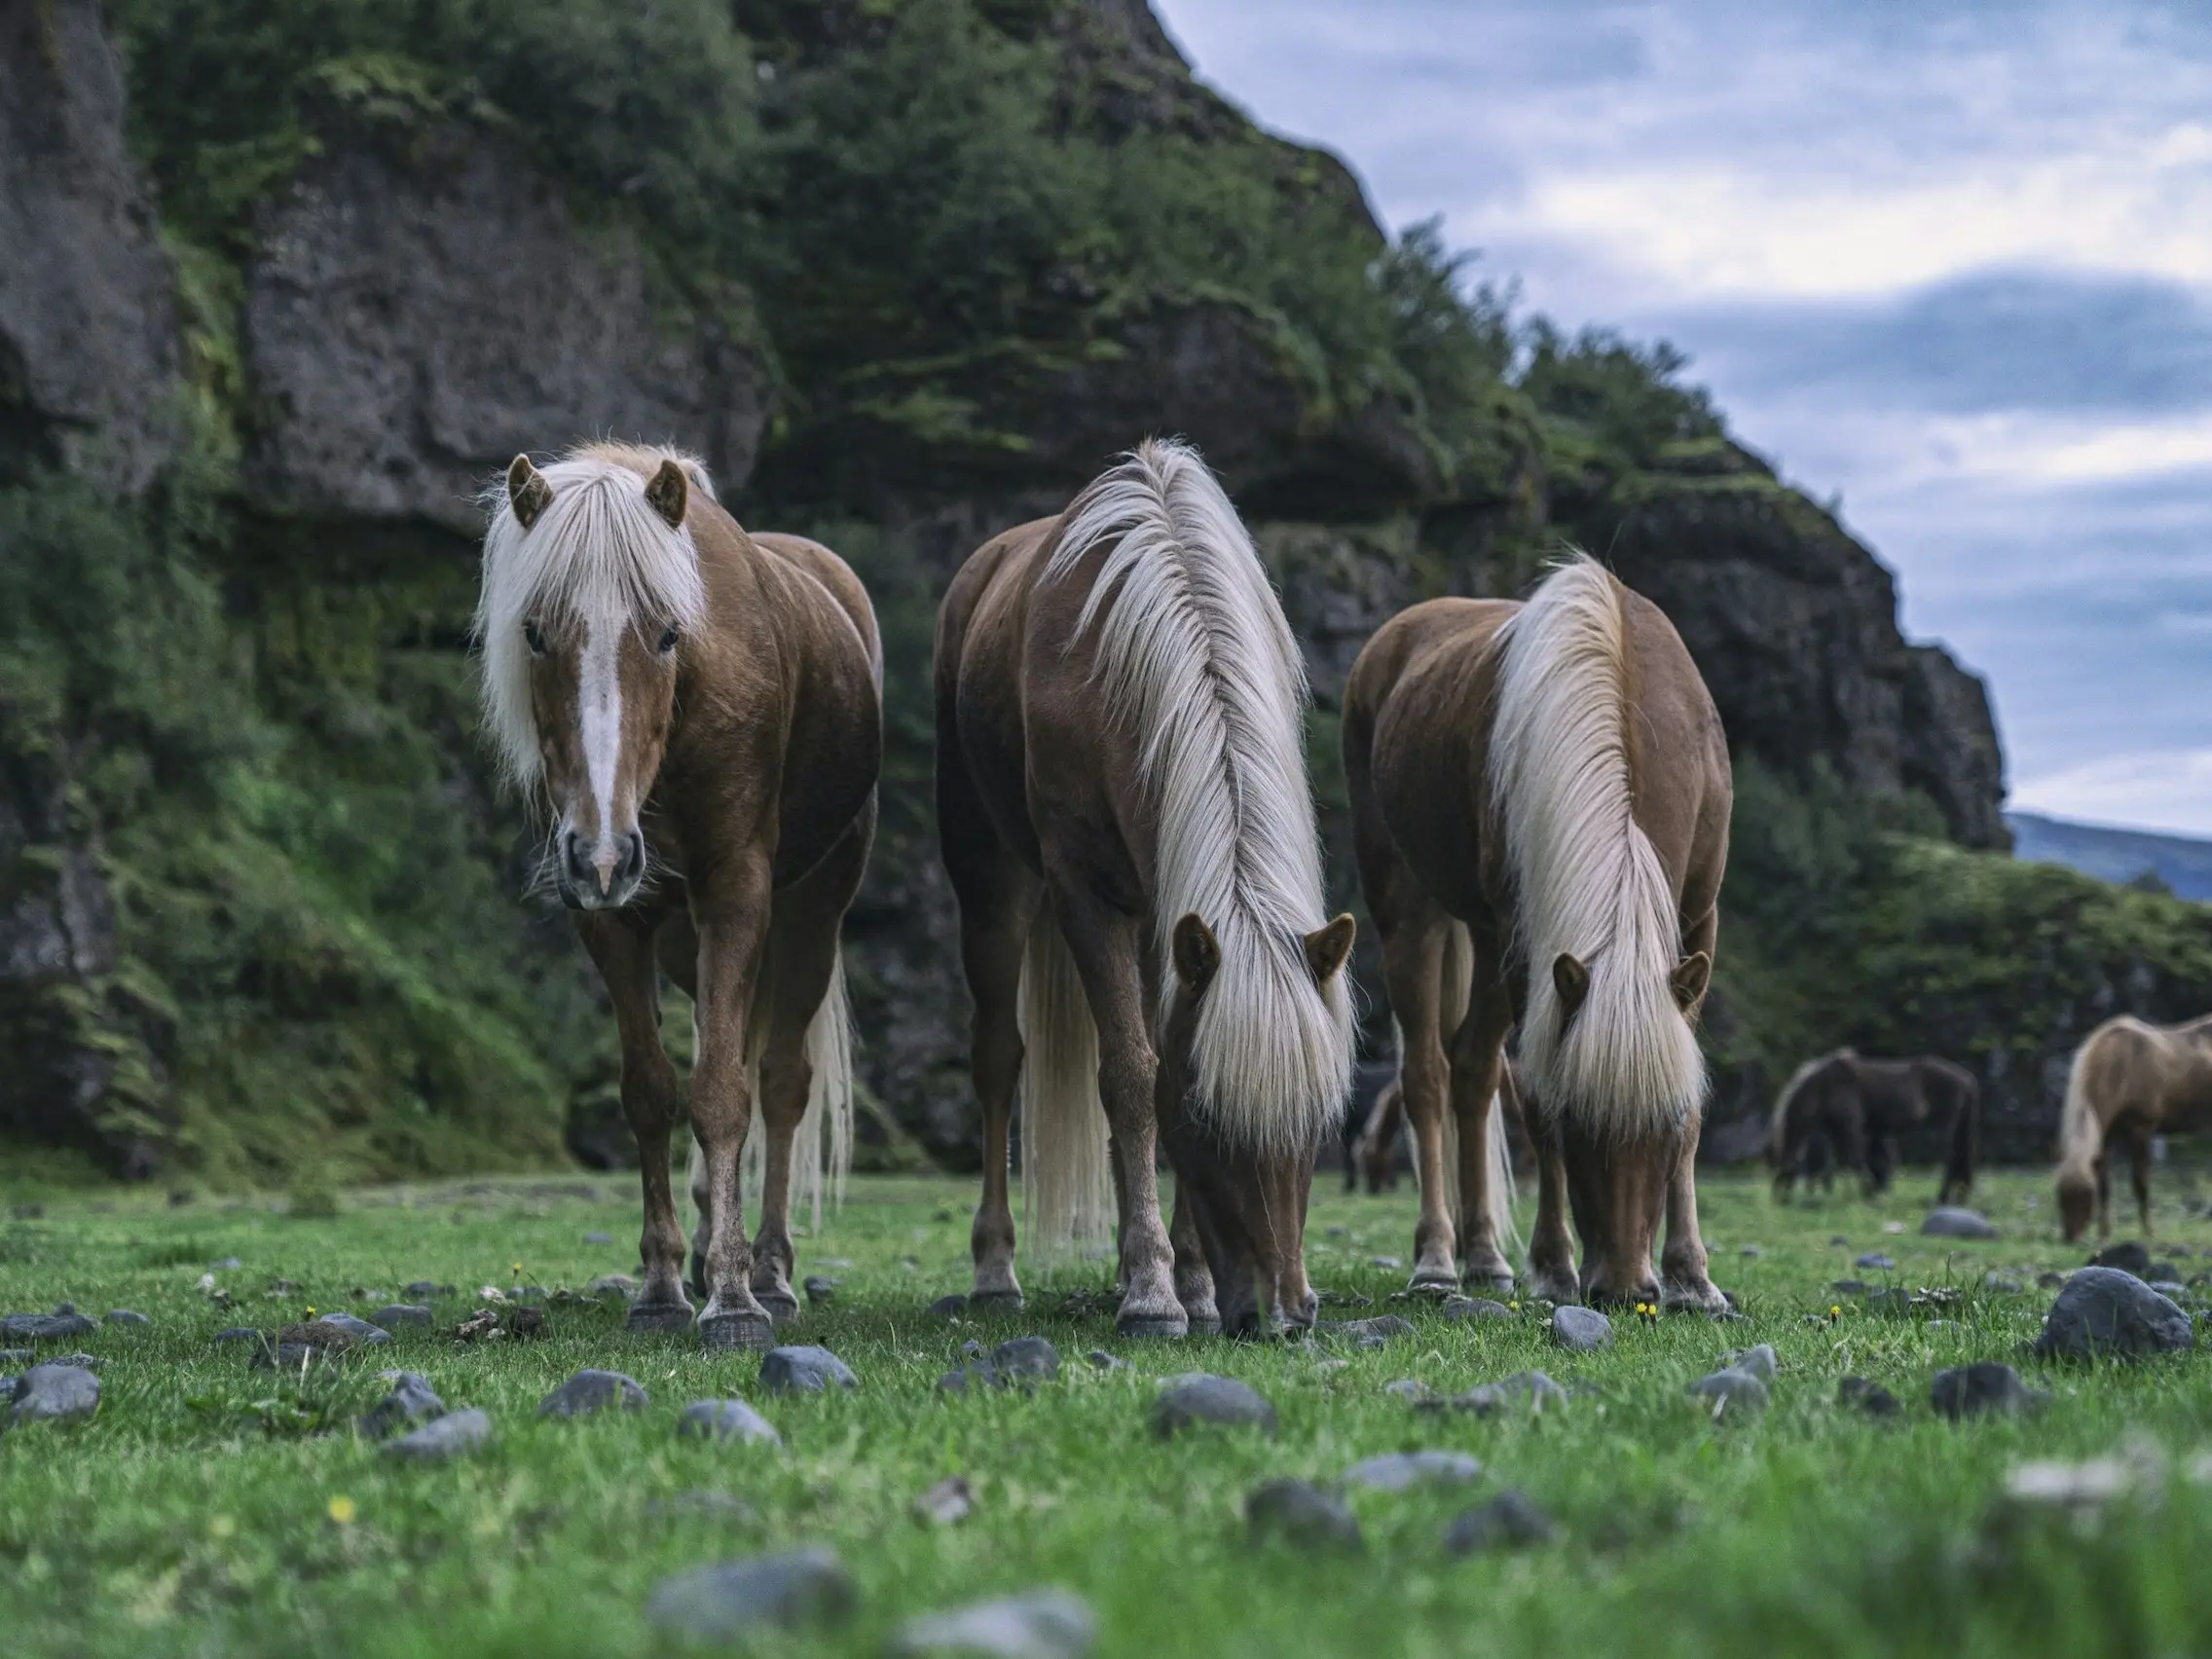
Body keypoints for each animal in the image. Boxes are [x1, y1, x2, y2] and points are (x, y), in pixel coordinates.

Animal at [480, 442, 875, 1353]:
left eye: (667, 632)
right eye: (534, 632)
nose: (602, 851)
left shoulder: (736, 889)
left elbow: (726, 1094)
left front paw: (734, 1298)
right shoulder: (613, 918)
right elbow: (653, 1093)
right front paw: (662, 1284)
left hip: (813, 911)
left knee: (781, 1082)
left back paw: (770, 1269)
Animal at [938, 437, 1353, 1336]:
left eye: (1318, 1121)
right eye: (1205, 1118)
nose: (1285, 1312)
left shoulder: (1175, 915)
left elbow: (1157, 1056)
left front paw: (1187, 1280)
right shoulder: (1086, 894)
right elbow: (1132, 1075)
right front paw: (1156, 1294)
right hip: (990, 883)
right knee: (998, 1059)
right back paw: (997, 1272)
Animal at [1336, 559, 1734, 1309]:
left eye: (1663, 1125)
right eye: (1579, 1124)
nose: (1624, 1289)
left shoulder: (1700, 918)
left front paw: (1692, 1277)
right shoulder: (1528, 949)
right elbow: (1535, 1096)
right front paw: (1554, 1266)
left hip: (1482, 942)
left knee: (1473, 1074)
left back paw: (1486, 1255)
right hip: (1412, 912)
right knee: (1429, 1076)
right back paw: (1438, 1259)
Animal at [1760, 1052, 1990, 1212]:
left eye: (1782, 1170)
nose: (1778, 1200)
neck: (1822, 1087)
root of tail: (1966, 1078)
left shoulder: (1850, 1127)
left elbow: (1856, 1160)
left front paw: (1869, 1194)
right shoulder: (1843, 1132)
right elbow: (1851, 1163)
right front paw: (1871, 1192)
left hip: (1943, 1129)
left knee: (1951, 1161)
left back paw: (1942, 1198)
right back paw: (1958, 1198)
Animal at [2052, 1013, 2212, 1247]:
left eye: (2087, 1194)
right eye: (2059, 1194)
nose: (2070, 1239)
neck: (2121, 1067)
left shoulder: (2142, 1129)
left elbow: (2140, 1182)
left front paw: (2149, 1233)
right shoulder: (2106, 1136)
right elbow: (2105, 1184)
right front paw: (2104, 1234)